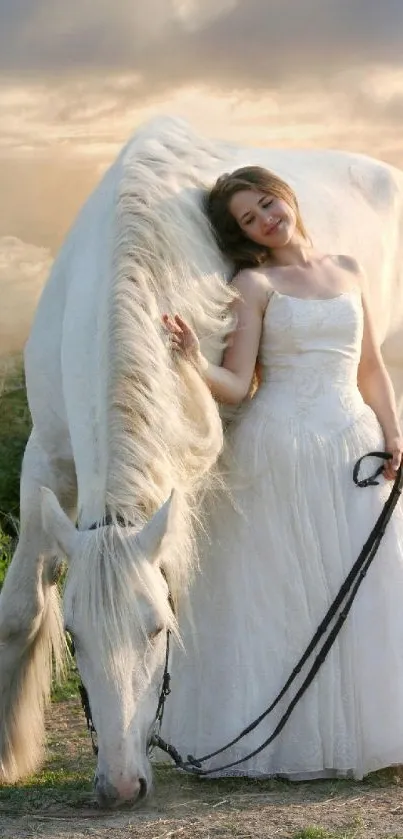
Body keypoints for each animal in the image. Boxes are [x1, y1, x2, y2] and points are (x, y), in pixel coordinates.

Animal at [2, 116, 403, 808]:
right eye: (75, 638)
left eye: (158, 630)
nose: (120, 786)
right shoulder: (44, 458)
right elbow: (21, 609)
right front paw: (5, 755)